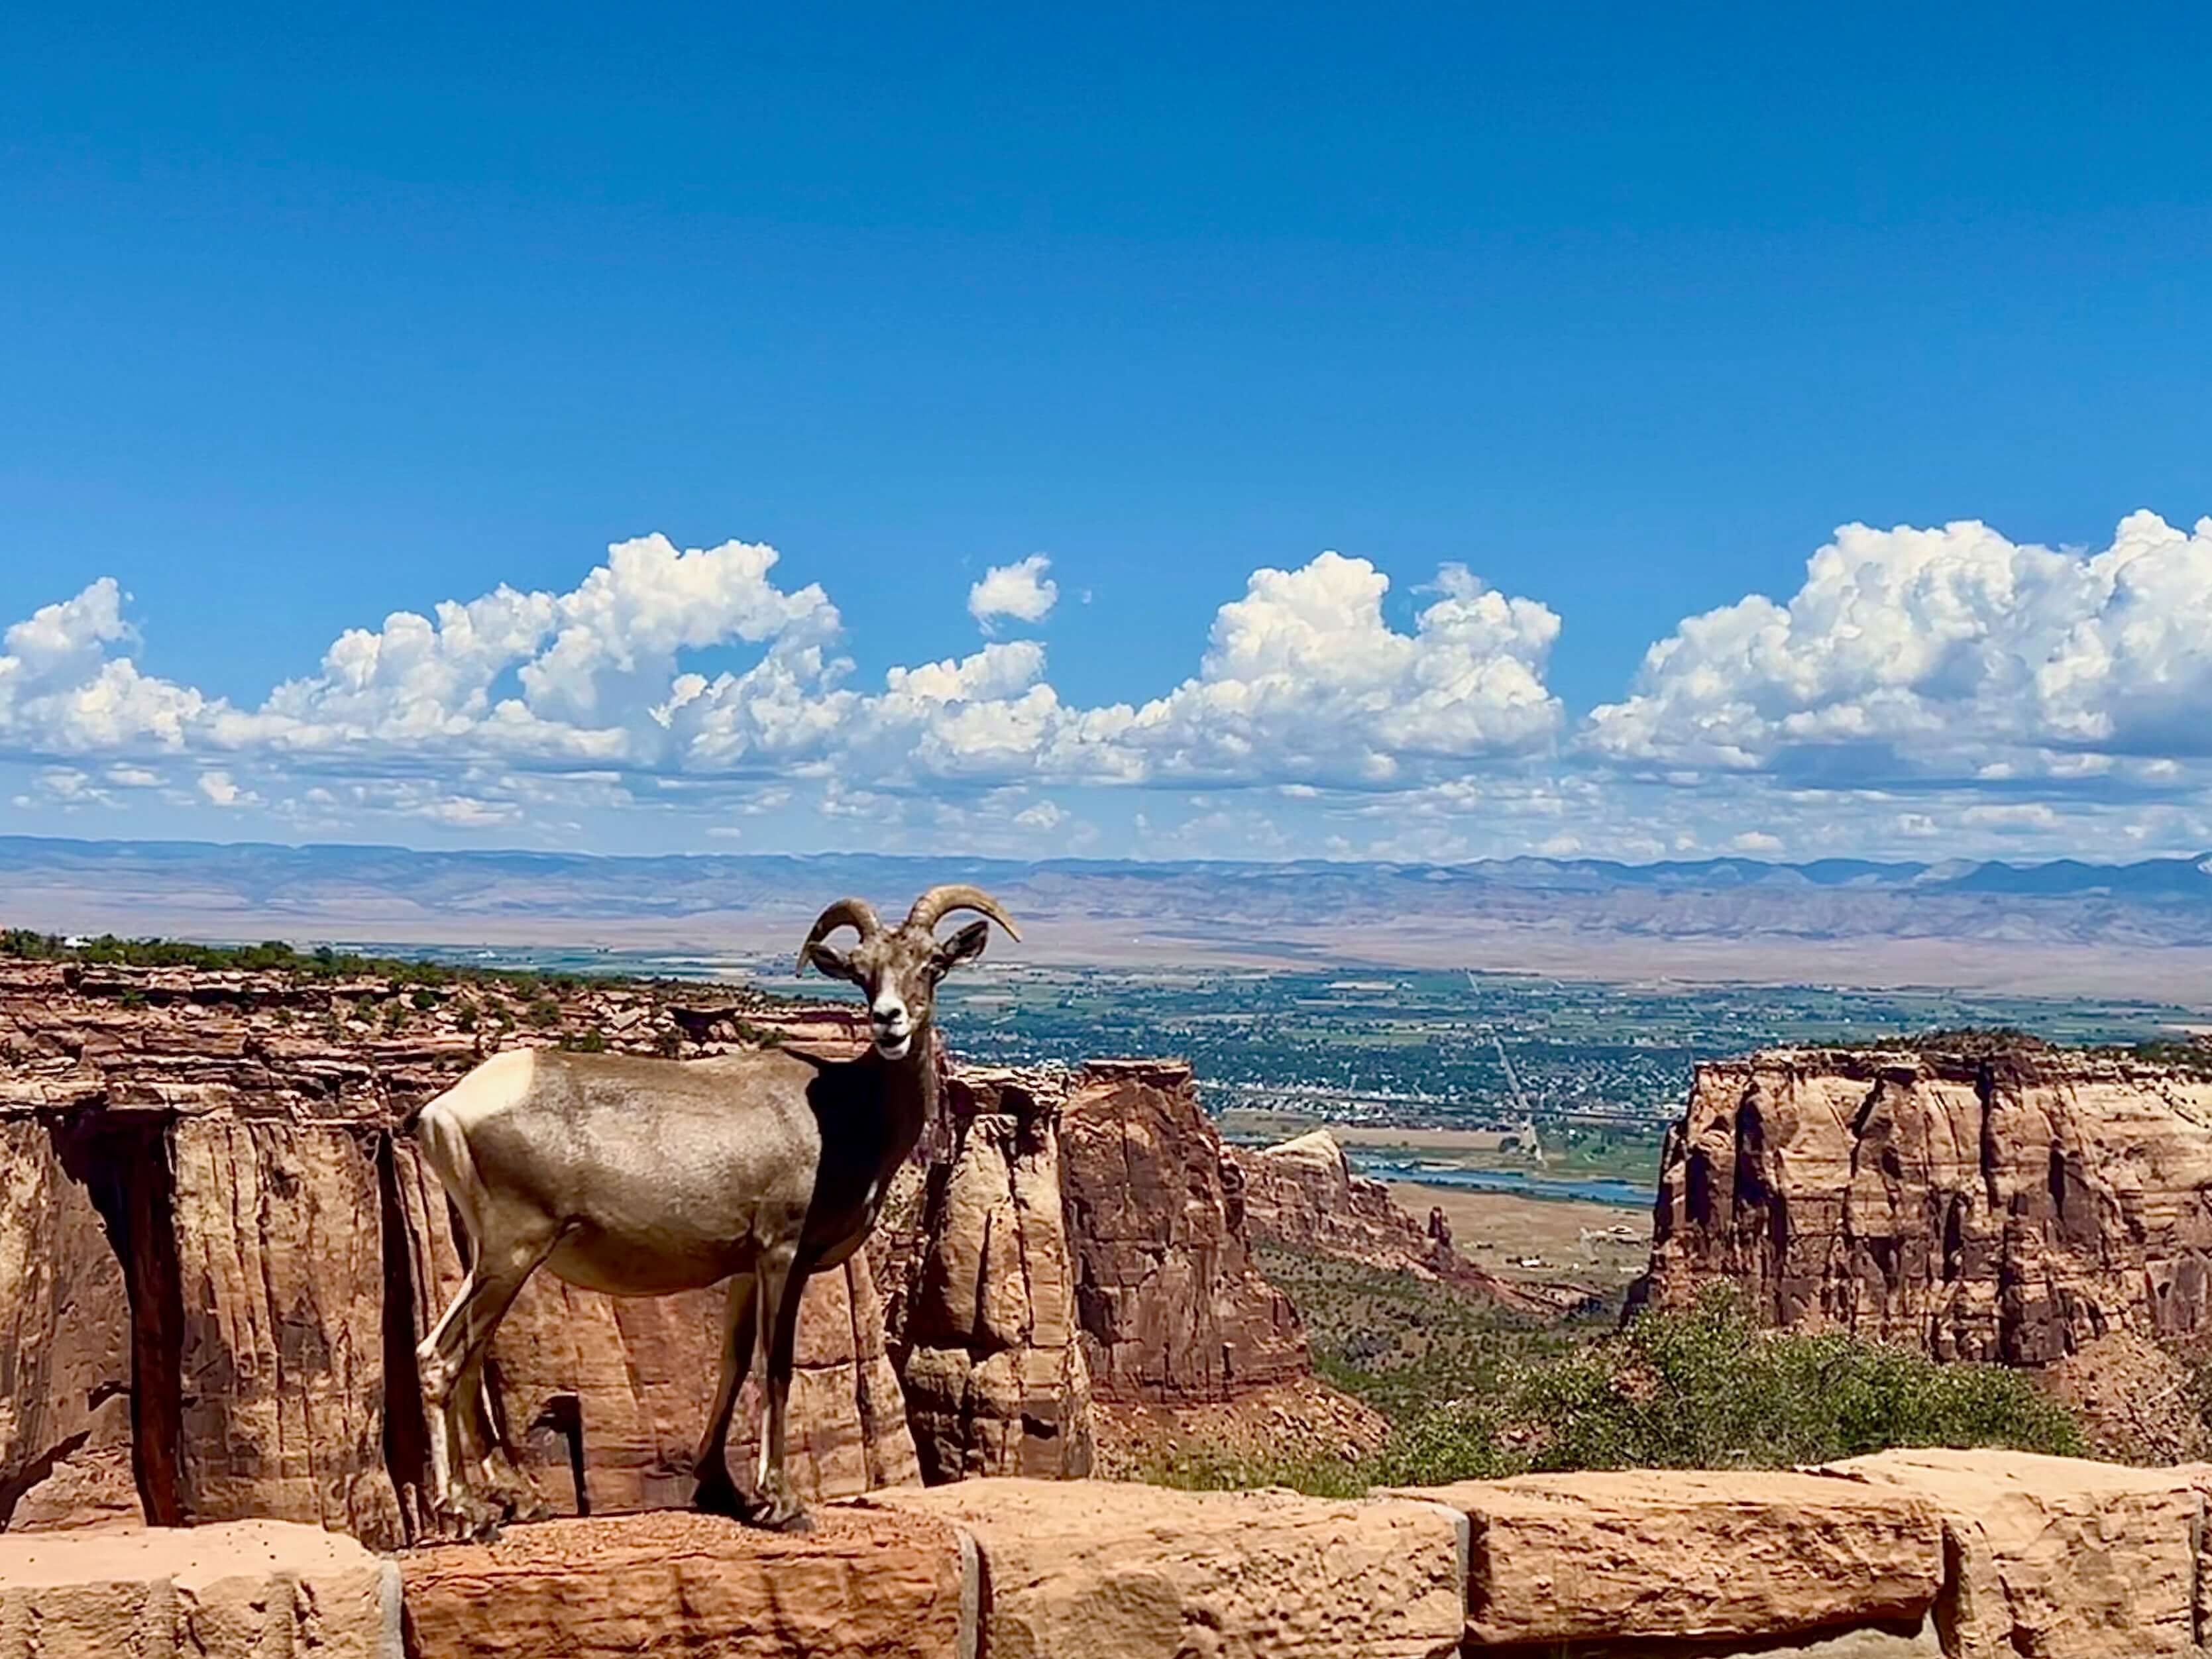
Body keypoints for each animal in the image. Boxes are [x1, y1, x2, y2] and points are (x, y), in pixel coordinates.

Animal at [414, 884, 1017, 1548]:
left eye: (933, 963)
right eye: (861, 972)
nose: (889, 1021)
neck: (846, 1113)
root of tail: (447, 1111)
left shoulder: (744, 1271)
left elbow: (733, 1363)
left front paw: (721, 1490)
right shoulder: (783, 1256)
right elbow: (775, 1366)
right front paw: (781, 1503)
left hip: (490, 1259)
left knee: (464, 1359)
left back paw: (515, 1501)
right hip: (514, 1251)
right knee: (441, 1358)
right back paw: (466, 1512)